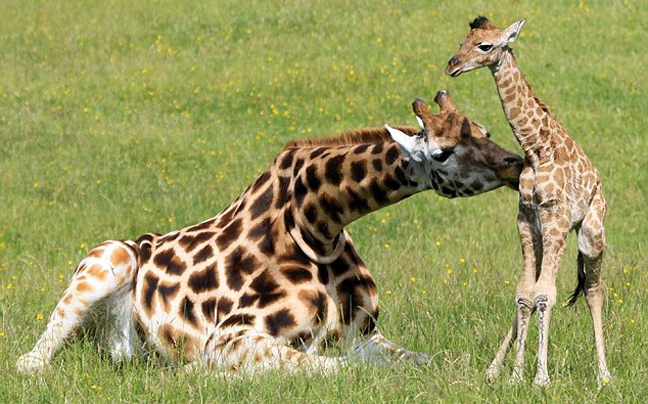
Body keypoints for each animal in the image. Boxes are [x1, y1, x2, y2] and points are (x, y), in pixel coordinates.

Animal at [16, 91, 520, 376]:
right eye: (442, 153)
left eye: (485, 128)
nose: (515, 164)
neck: (317, 224)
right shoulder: (229, 340)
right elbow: (334, 371)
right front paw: (206, 378)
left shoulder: (364, 337)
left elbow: (436, 363)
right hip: (108, 261)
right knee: (31, 359)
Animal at [446, 17, 612, 386]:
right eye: (463, 41)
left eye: (485, 46)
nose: (452, 65)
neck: (537, 148)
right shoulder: (526, 219)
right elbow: (525, 293)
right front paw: (514, 375)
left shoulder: (556, 219)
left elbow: (545, 295)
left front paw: (540, 378)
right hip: (545, 234)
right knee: (538, 288)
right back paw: (494, 369)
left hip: (590, 232)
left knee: (594, 291)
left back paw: (604, 375)